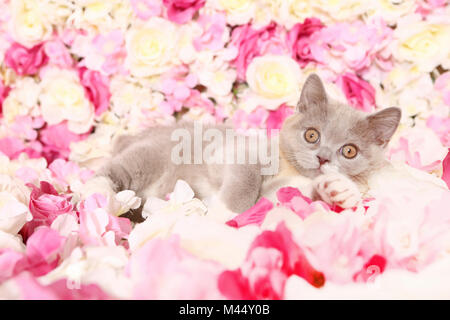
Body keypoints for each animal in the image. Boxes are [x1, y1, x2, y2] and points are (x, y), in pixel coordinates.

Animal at [93, 74, 400, 221]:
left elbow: (284, 197)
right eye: (312, 135)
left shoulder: (280, 193)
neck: (290, 168)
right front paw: (227, 212)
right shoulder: (231, 152)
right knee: (110, 171)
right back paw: (101, 196)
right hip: (149, 156)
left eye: (349, 151)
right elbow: (246, 173)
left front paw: (340, 190)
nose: (323, 158)